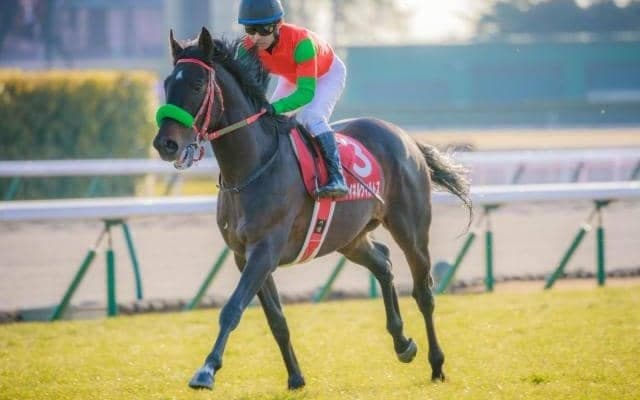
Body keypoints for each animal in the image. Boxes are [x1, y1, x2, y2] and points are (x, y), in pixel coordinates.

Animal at [153, 27, 472, 391]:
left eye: (196, 85)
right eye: (167, 83)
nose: (166, 144)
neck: (250, 168)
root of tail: (405, 138)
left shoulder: (264, 250)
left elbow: (232, 309)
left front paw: (206, 370)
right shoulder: (244, 255)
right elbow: (276, 320)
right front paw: (295, 377)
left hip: (412, 230)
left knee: (423, 292)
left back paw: (437, 364)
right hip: (349, 237)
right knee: (383, 262)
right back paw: (402, 342)